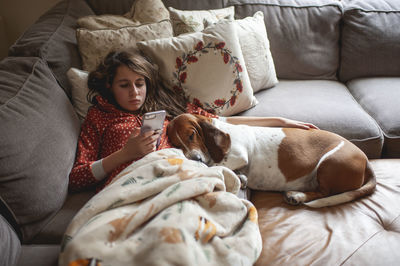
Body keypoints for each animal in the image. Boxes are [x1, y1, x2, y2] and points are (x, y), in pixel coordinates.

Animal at [166, 112, 376, 208]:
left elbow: (216, 165)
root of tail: (366, 162)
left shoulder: (237, 155)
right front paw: (241, 178)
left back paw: (297, 196)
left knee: (324, 192)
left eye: (192, 135)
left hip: (328, 164)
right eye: (175, 144)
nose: (196, 159)